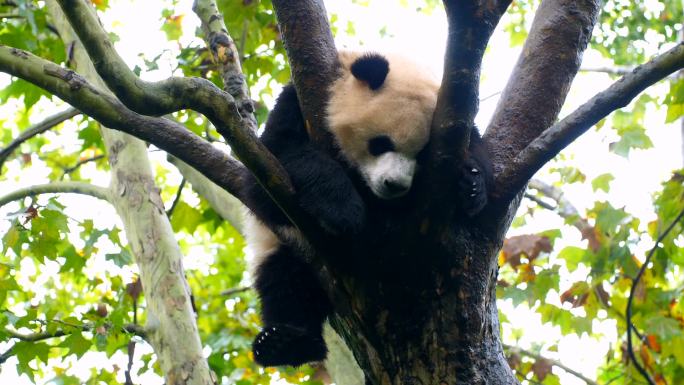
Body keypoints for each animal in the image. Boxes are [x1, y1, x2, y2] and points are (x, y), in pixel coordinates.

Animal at [243, 51, 488, 366]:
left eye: (423, 155)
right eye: (380, 144)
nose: (394, 185)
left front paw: (471, 184)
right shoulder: (294, 108)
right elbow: (271, 171)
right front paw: (343, 209)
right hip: (286, 243)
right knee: (286, 283)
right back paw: (285, 343)